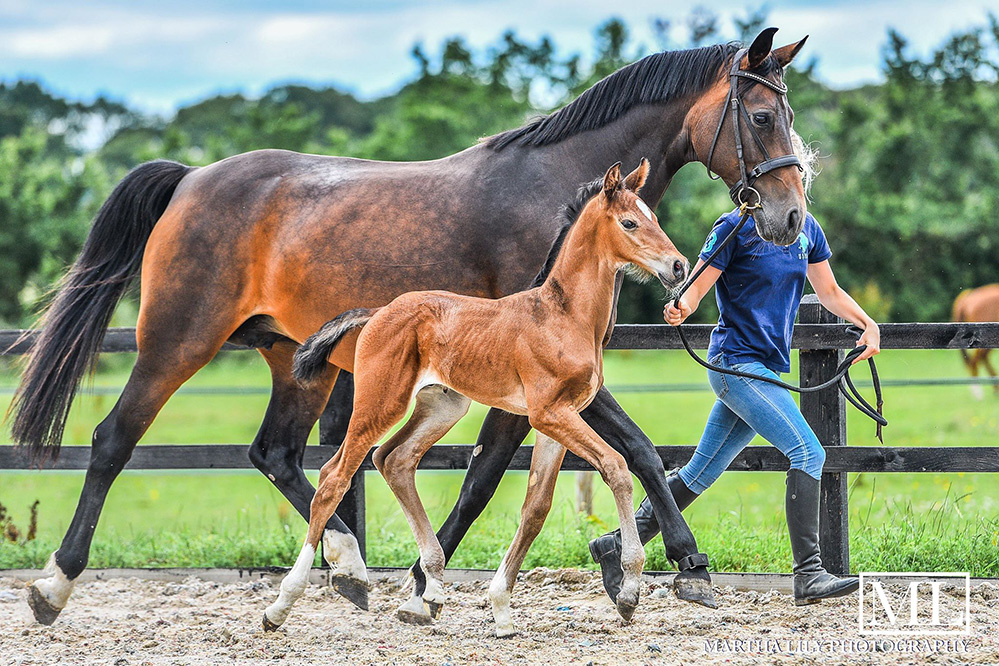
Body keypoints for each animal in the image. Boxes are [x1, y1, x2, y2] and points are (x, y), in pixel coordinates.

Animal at [262, 160, 692, 632]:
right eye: (630, 222)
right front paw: (629, 589)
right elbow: (616, 466)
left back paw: (430, 590)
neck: (563, 316)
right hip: (381, 401)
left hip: (443, 404)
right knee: (334, 476)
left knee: (393, 459)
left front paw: (502, 607)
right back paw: (284, 604)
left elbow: (536, 507)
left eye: (654, 217)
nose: (678, 267)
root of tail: (378, 312)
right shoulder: (549, 414)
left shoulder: (558, 420)